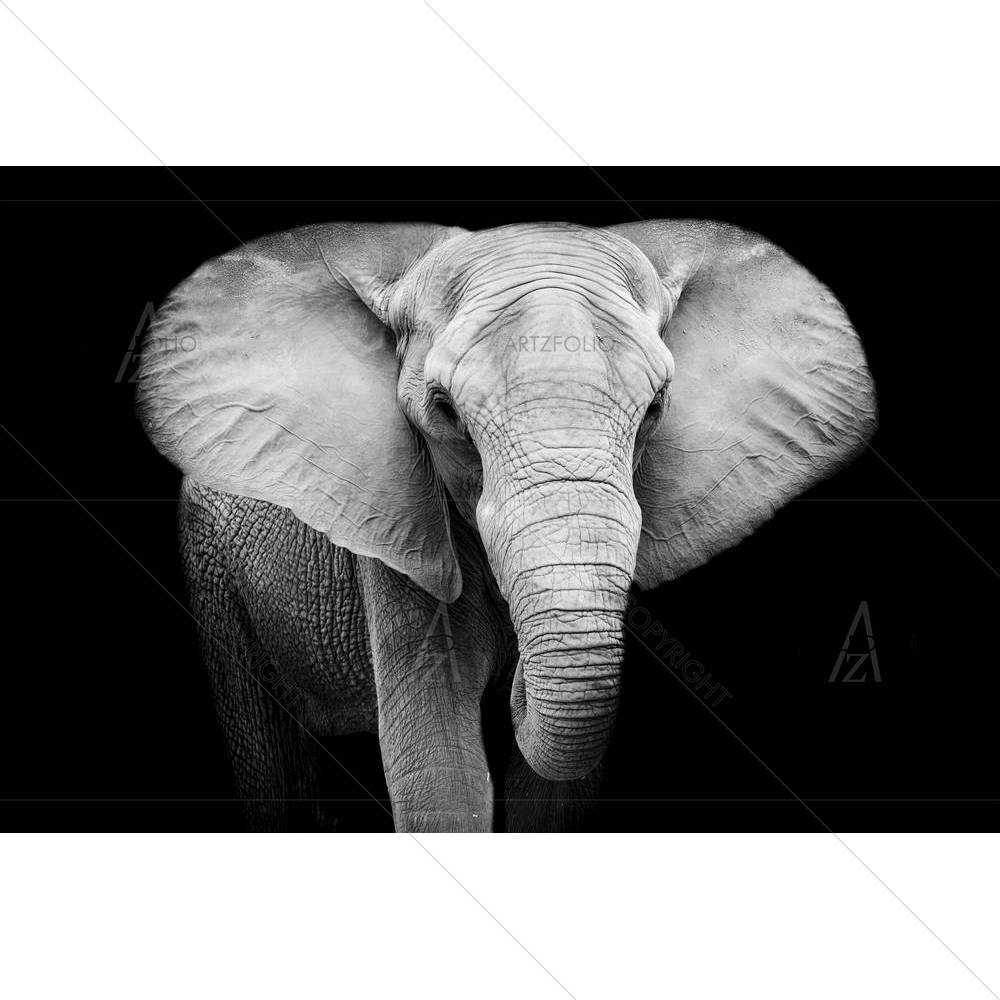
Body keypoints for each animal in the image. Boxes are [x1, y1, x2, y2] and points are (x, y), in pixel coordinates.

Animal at [136, 219, 877, 832]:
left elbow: (551, 801)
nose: (516, 682)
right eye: (443, 411)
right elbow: (443, 774)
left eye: (657, 408)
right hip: (211, 562)